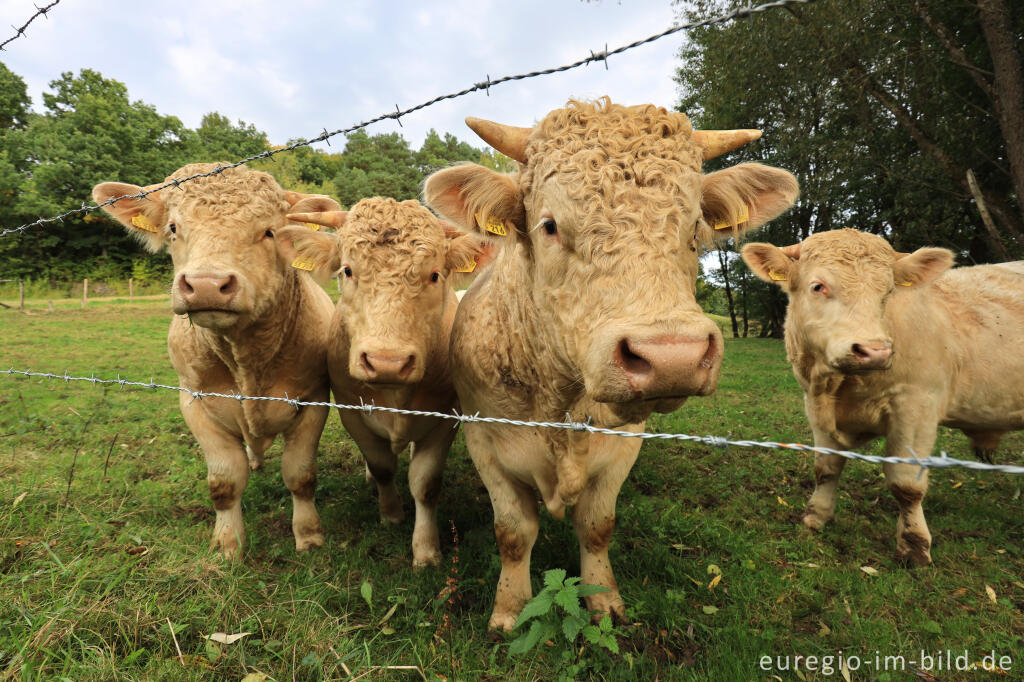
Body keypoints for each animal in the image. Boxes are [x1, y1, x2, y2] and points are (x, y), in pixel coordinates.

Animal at [94, 164, 337, 557]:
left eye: (269, 231)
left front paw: (309, 535)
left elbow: (300, 474)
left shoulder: (314, 399)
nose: (207, 284)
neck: (246, 360)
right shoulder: (194, 401)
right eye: (173, 228)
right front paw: (227, 545)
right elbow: (225, 481)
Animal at [280, 197, 487, 569]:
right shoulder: (351, 412)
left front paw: (426, 549)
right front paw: (391, 513)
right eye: (347, 270)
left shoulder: (444, 419)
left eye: (435, 275)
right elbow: (382, 467)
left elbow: (425, 483)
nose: (386, 362)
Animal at [423, 96, 798, 626]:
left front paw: (604, 601)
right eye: (550, 225)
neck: (559, 405)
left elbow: (597, 525)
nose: (673, 355)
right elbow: (514, 533)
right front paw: (509, 609)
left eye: (695, 226)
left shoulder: (623, 443)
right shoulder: (485, 439)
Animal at [741, 228, 1024, 561]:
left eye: (888, 292)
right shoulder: (813, 403)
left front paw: (914, 545)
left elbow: (906, 484)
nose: (874, 351)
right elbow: (825, 468)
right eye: (818, 286)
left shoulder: (917, 406)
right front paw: (816, 516)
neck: (840, 387)